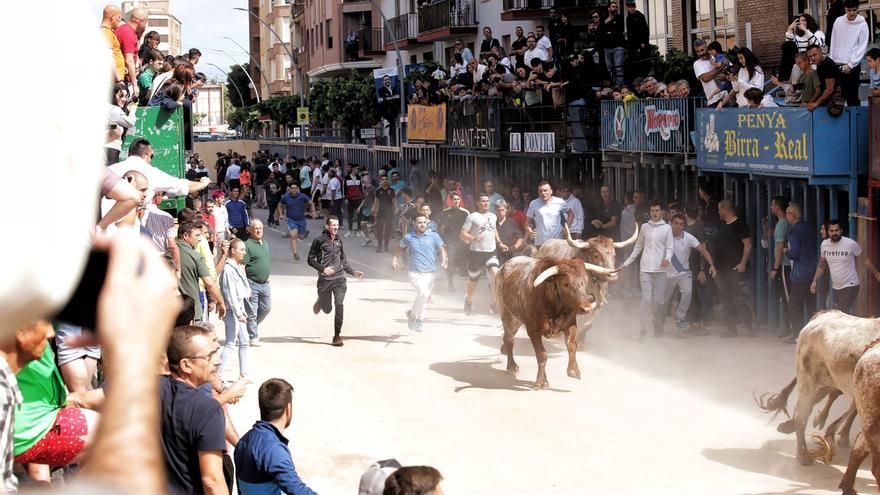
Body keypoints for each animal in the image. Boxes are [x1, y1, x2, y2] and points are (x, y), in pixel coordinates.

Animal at [496, 256, 620, 392]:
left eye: (585, 281)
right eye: (566, 284)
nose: (586, 308)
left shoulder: (571, 325)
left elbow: (572, 346)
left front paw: (573, 370)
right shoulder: (533, 330)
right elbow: (542, 354)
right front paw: (540, 382)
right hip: (508, 317)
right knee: (509, 340)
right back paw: (512, 366)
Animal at [752, 312, 876, 466]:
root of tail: (821, 316)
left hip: (821, 385)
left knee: (805, 407)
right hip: (809, 383)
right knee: (802, 414)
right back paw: (804, 455)